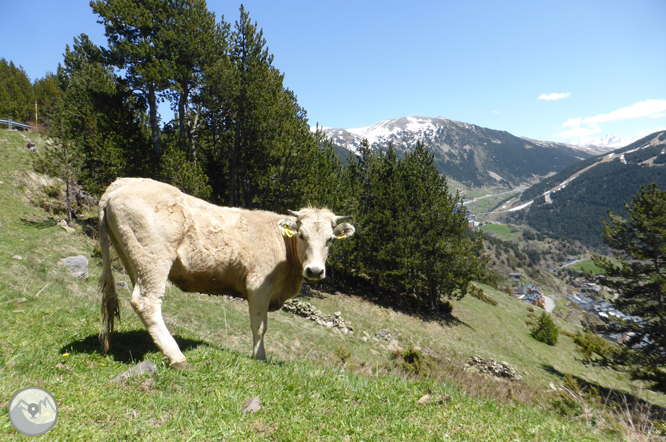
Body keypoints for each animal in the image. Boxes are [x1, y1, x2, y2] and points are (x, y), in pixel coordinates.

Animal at [97, 178, 352, 368]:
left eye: (330, 240)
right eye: (301, 235)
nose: (315, 270)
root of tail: (122, 183)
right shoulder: (259, 286)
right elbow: (260, 326)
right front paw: (260, 357)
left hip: (136, 259)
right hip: (154, 258)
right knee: (147, 301)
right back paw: (177, 358)